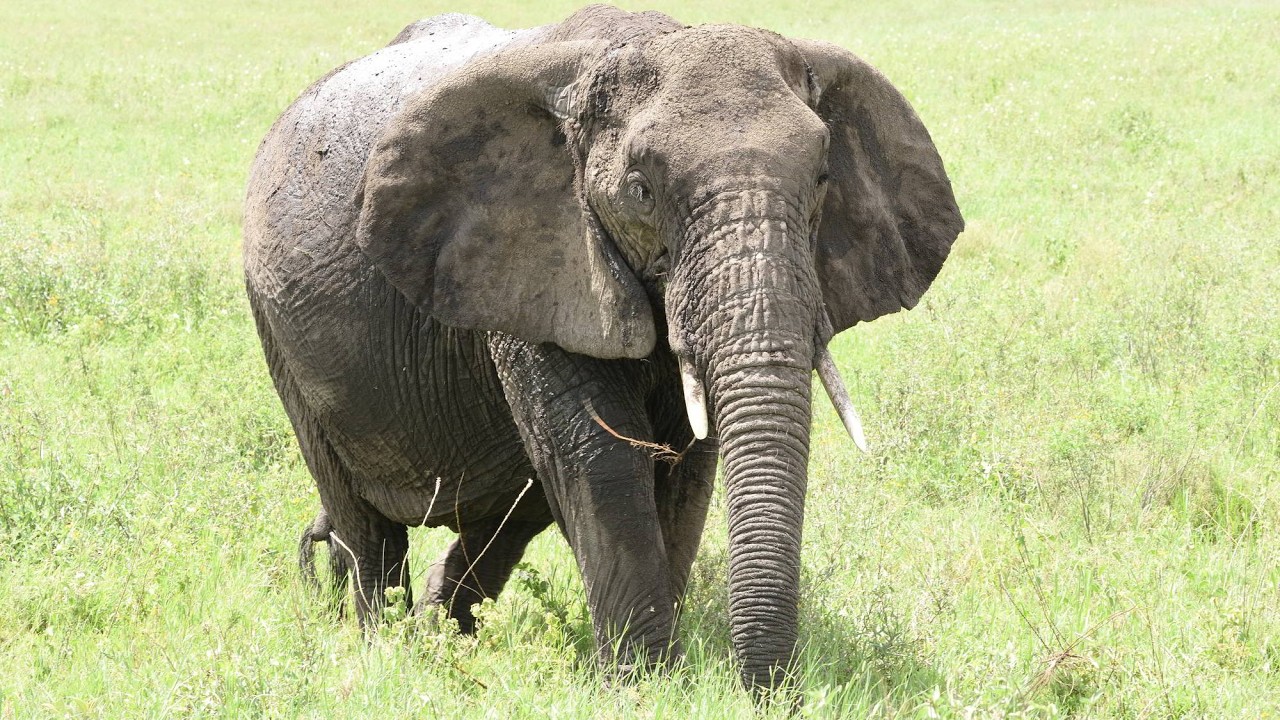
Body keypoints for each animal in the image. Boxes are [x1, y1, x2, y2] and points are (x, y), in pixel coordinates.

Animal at [242, 5, 962, 692]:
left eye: (820, 177)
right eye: (641, 191)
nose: (773, 695)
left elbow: (689, 461)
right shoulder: (540, 261)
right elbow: (599, 456)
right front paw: (647, 687)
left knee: (503, 522)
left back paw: (442, 638)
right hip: (278, 328)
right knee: (366, 527)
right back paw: (389, 648)